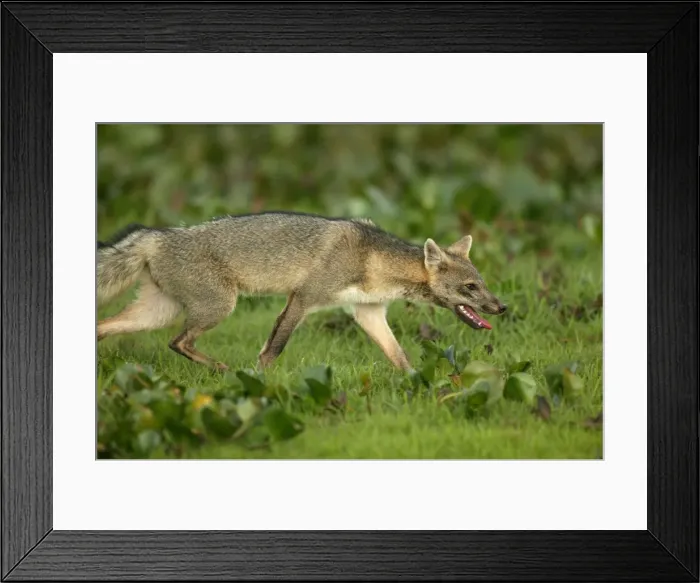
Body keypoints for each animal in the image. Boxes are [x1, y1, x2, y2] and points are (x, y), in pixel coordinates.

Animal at [97, 211, 507, 373]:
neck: (372, 259)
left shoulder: (369, 312)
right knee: (178, 341)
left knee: (104, 327)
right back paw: (223, 370)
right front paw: (255, 385)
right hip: (218, 308)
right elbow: (272, 351)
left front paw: (419, 385)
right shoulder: (304, 299)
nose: (502, 307)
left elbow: (399, 356)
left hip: (155, 314)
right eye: (471, 287)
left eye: (484, 284)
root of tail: (157, 234)